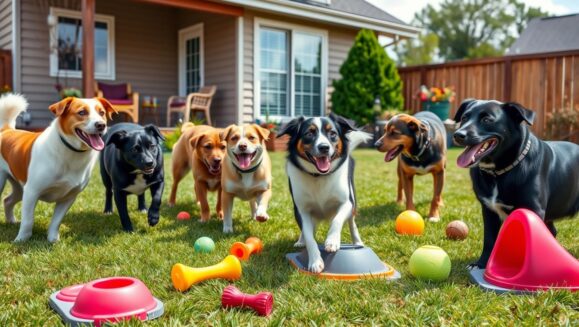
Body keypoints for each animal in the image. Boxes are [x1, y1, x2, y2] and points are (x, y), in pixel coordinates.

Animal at [0, 93, 116, 242]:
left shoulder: (69, 197)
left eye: (102, 113)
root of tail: (6, 130)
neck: (70, 151)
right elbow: (28, 220)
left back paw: (11, 221)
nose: (101, 125)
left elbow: (56, 221)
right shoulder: (31, 192)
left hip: (20, 187)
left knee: (7, 200)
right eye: (82, 112)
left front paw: (53, 239)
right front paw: (21, 240)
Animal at [456, 100, 576, 270]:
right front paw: (481, 264)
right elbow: (489, 239)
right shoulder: (488, 210)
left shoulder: (534, 210)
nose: (458, 135)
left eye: (486, 120)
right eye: (464, 118)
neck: (499, 172)